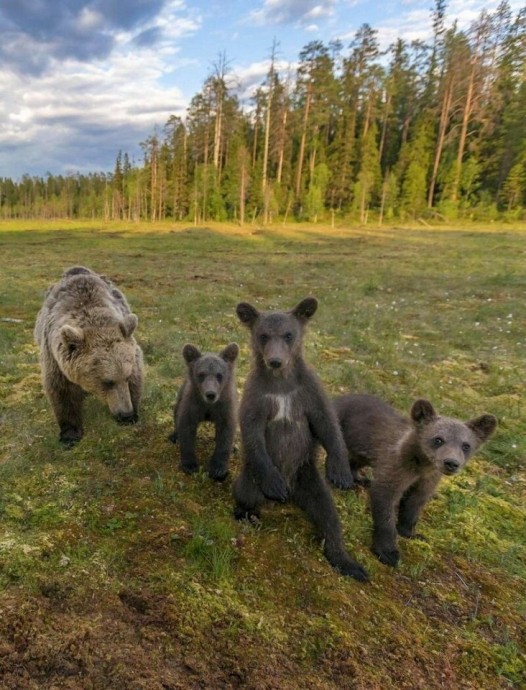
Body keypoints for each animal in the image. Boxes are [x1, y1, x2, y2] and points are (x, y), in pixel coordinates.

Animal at [35, 266, 144, 444]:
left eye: (127, 377)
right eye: (107, 382)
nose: (125, 414)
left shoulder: (132, 355)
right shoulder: (54, 358)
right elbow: (61, 390)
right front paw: (70, 434)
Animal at [169, 342, 239, 482]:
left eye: (219, 375)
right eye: (201, 374)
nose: (210, 394)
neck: (209, 406)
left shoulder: (225, 408)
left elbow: (226, 435)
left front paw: (218, 469)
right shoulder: (193, 405)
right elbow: (186, 429)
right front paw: (190, 464)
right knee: (176, 412)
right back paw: (174, 436)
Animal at [233, 296, 370, 580]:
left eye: (288, 334)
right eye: (263, 335)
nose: (275, 361)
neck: (281, 384)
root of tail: (293, 492)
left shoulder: (308, 393)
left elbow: (327, 425)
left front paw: (341, 472)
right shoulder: (257, 398)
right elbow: (252, 432)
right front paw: (273, 484)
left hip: (308, 476)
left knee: (328, 513)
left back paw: (348, 562)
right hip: (251, 476)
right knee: (246, 492)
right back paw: (249, 513)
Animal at [334, 392, 500, 564]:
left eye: (466, 445)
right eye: (438, 439)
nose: (451, 463)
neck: (421, 467)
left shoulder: (427, 480)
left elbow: (413, 505)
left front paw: (411, 533)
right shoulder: (396, 470)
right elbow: (385, 507)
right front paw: (388, 552)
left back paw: (360, 478)